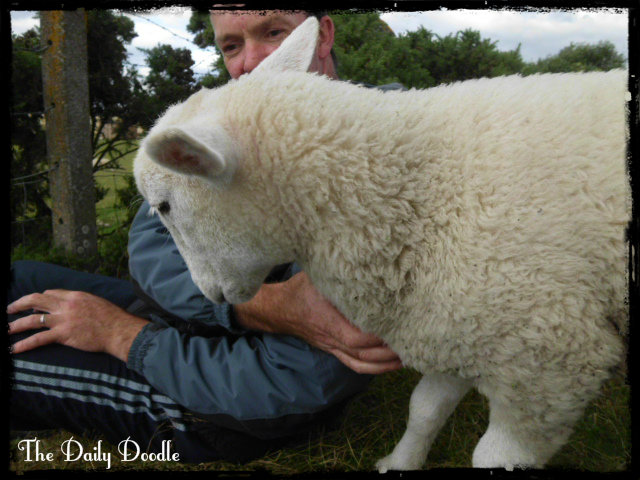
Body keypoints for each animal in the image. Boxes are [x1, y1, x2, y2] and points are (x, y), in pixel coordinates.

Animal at [133, 17, 629, 470]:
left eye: (165, 206)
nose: (209, 294)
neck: (422, 192)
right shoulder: (456, 325)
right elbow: (424, 409)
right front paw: (400, 462)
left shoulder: (547, 366)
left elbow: (494, 456)